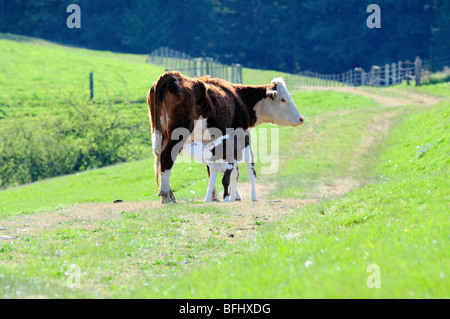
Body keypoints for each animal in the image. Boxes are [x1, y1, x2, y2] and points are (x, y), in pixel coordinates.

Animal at [148, 71, 306, 204]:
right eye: (283, 99)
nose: (301, 118)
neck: (239, 98)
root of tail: (170, 76)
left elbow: (211, 169)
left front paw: (214, 196)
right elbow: (234, 172)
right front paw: (234, 196)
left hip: (160, 133)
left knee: (160, 159)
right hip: (178, 134)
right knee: (167, 157)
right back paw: (167, 196)